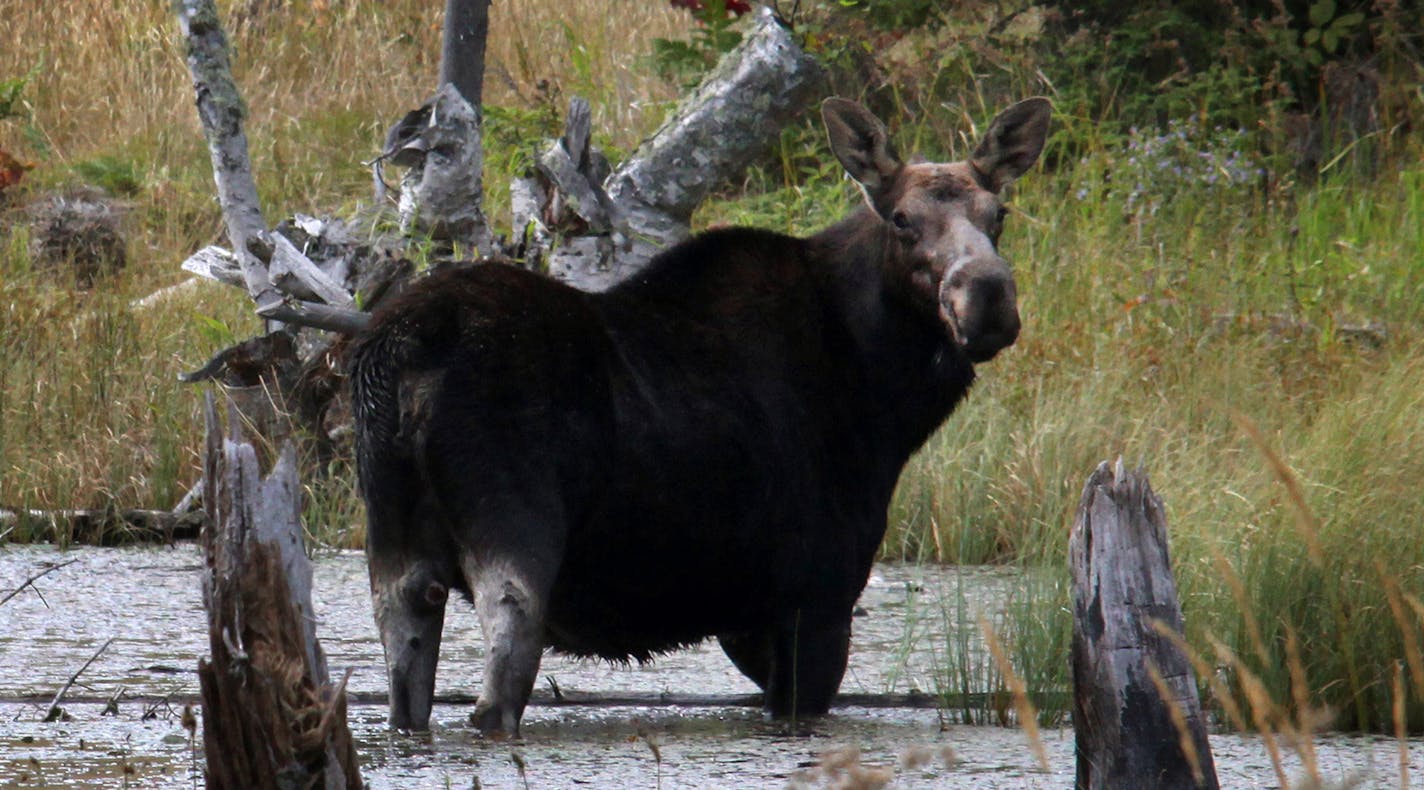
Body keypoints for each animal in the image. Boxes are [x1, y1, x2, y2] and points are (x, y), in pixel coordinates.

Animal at [350, 97, 1053, 734]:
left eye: (999, 213)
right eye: (903, 219)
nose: (989, 296)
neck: (884, 396)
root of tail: (408, 346)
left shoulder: (747, 614)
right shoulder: (816, 589)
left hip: (391, 532)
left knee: (405, 665)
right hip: (515, 521)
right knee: (499, 679)